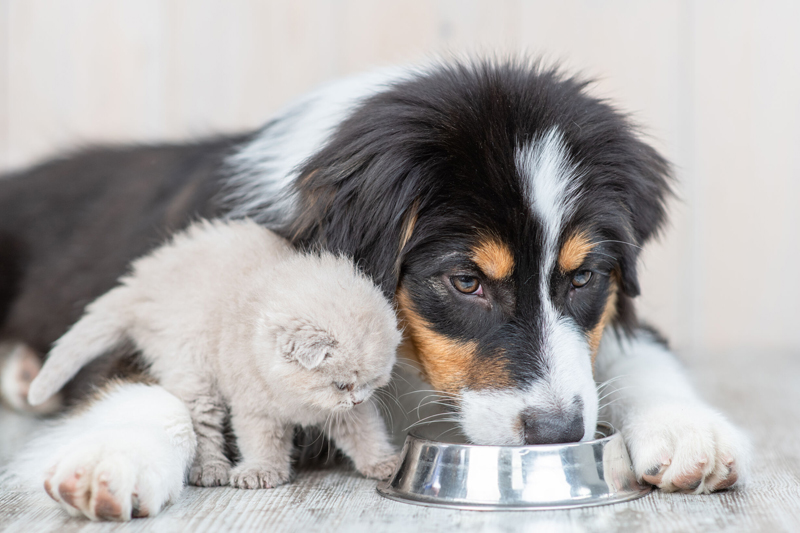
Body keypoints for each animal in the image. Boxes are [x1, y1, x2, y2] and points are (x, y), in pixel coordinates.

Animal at [28, 218, 404, 488]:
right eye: (342, 385)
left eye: (372, 384)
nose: (356, 398)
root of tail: (141, 284)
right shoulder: (255, 408)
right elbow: (261, 442)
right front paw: (261, 471)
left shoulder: (347, 414)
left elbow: (366, 434)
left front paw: (384, 463)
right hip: (192, 370)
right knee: (202, 426)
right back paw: (211, 469)